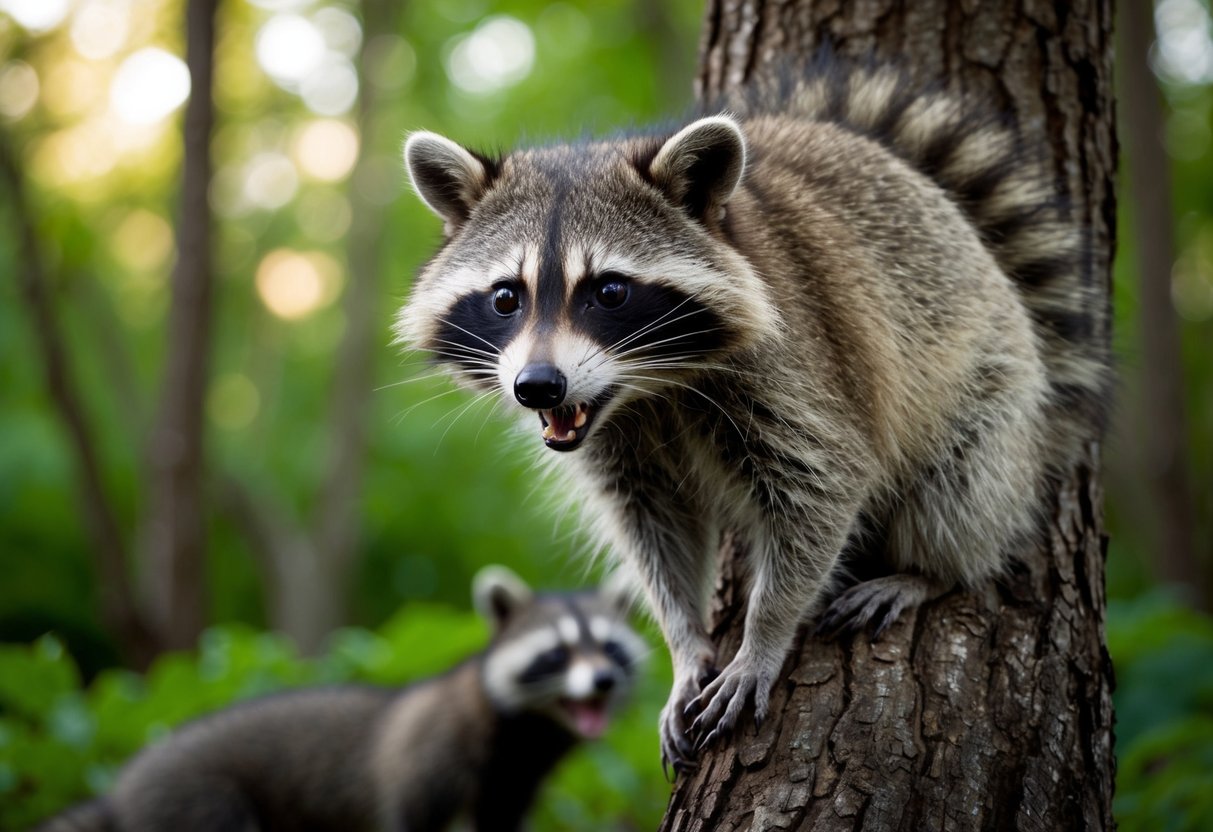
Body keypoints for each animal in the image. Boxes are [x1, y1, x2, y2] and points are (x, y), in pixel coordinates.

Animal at [36, 566, 645, 832]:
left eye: (609, 647)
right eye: (557, 653)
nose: (601, 681)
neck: (529, 733)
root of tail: (121, 792)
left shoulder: (512, 782)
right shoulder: (429, 758)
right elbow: (409, 819)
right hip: (198, 805)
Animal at [396, 63, 1109, 770]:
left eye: (610, 291)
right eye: (506, 297)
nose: (538, 388)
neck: (646, 388)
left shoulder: (796, 362)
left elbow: (824, 484)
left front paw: (763, 636)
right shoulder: (618, 442)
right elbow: (654, 531)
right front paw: (685, 643)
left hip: (992, 374)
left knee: (963, 478)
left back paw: (930, 569)